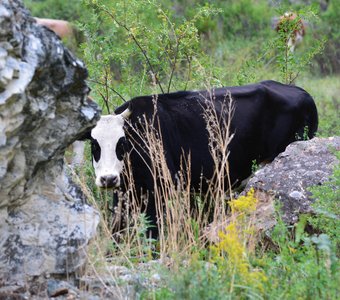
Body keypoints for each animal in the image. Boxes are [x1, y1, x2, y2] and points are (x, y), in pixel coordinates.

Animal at [86, 80, 318, 237]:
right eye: (94, 145)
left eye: (121, 144)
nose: (108, 179)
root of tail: (302, 92)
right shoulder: (125, 193)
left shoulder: (158, 190)